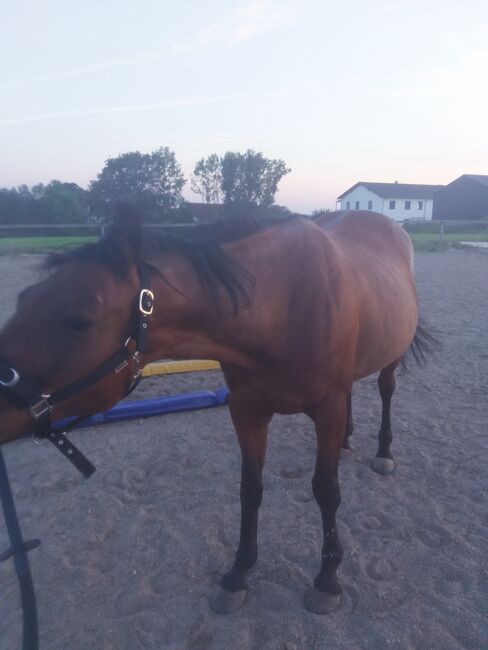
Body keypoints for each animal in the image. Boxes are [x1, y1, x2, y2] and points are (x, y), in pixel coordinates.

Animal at [0, 206, 426, 612]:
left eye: (78, 320)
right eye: (23, 299)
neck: (280, 305)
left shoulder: (327, 410)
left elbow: (326, 490)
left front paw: (327, 581)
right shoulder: (247, 411)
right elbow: (250, 489)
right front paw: (238, 574)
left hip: (391, 356)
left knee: (386, 390)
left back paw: (383, 451)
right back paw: (348, 442)